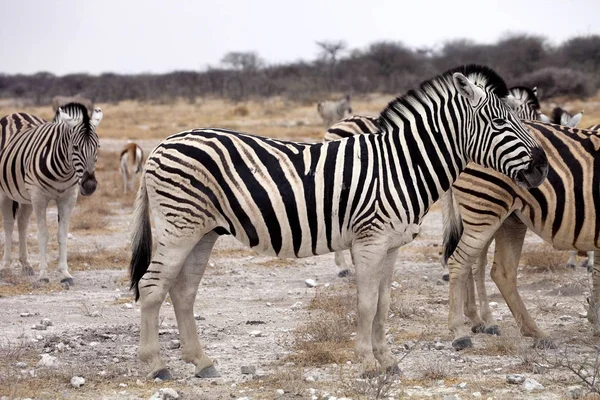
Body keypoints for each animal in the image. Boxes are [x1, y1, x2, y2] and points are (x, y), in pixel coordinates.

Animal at [0, 103, 102, 284]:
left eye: (97, 147)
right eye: (75, 147)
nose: (90, 186)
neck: (64, 170)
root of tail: (15, 113)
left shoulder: (68, 198)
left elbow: (62, 235)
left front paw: (65, 273)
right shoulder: (39, 197)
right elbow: (43, 235)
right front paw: (44, 275)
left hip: (26, 196)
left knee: (22, 222)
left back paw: (26, 264)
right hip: (6, 192)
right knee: (8, 224)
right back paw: (5, 267)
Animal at [130, 65, 548, 378]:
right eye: (499, 122)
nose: (543, 167)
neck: (402, 166)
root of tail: (162, 145)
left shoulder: (392, 246)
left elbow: (383, 303)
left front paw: (387, 360)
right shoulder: (369, 241)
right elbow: (365, 304)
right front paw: (367, 362)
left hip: (203, 231)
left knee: (183, 291)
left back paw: (200, 362)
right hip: (178, 227)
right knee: (152, 286)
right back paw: (155, 365)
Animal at [440, 122, 600, 350]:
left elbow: (596, 276)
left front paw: (595, 319)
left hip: (507, 218)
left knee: (495, 270)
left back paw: (523, 330)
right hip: (485, 209)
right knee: (461, 262)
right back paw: (461, 332)